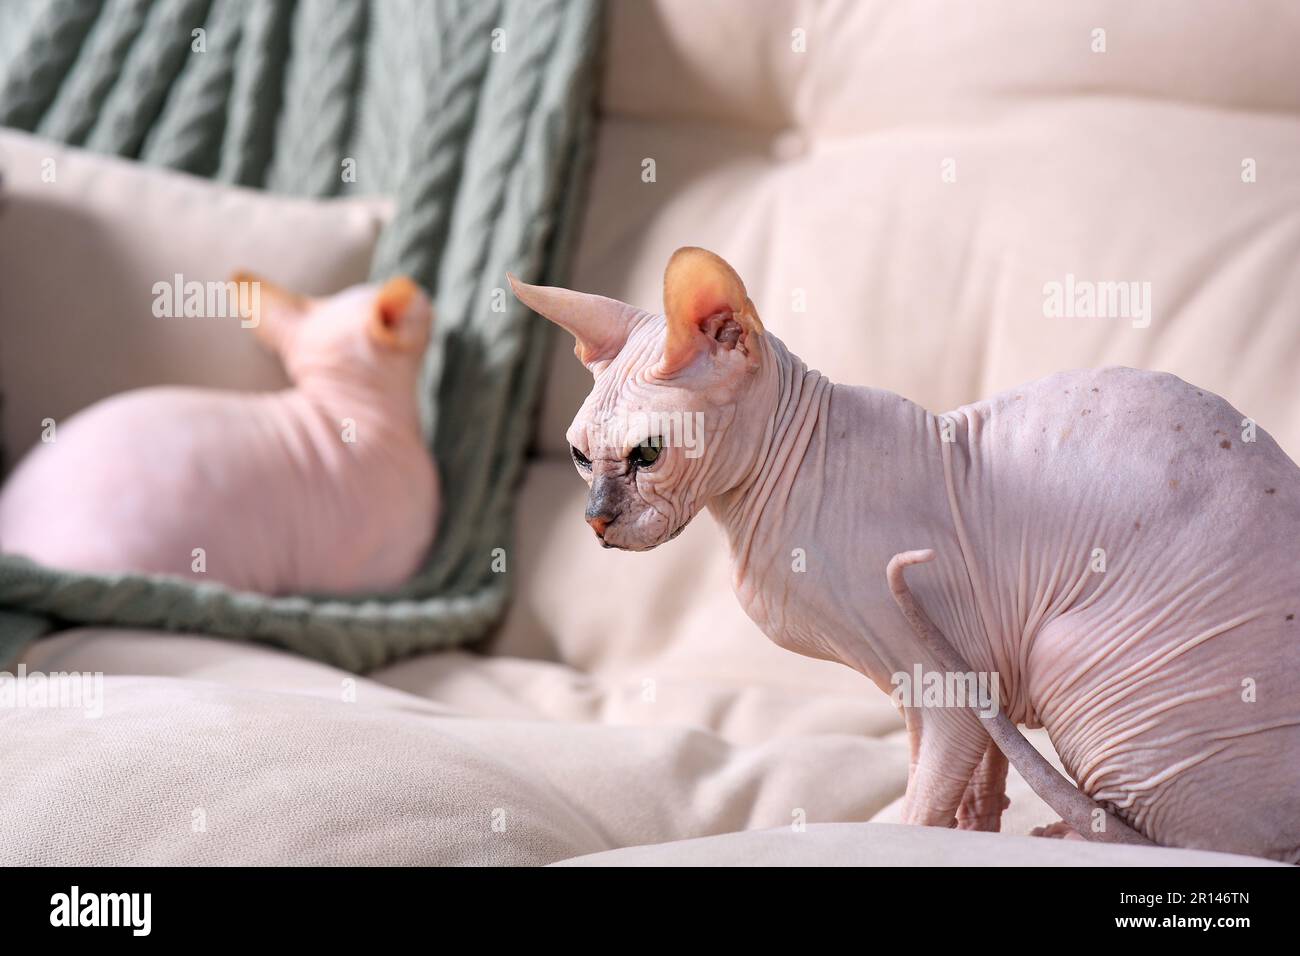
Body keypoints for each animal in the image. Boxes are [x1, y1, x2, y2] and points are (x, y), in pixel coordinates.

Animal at [506, 248, 1300, 868]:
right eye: (579, 456)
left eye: (647, 454)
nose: (596, 521)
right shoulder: (983, 670)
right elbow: (976, 777)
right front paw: (978, 830)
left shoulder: (946, 680)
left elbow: (925, 798)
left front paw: (915, 834)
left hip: (1074, 659)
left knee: (1167, 835)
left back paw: (1070, 833)